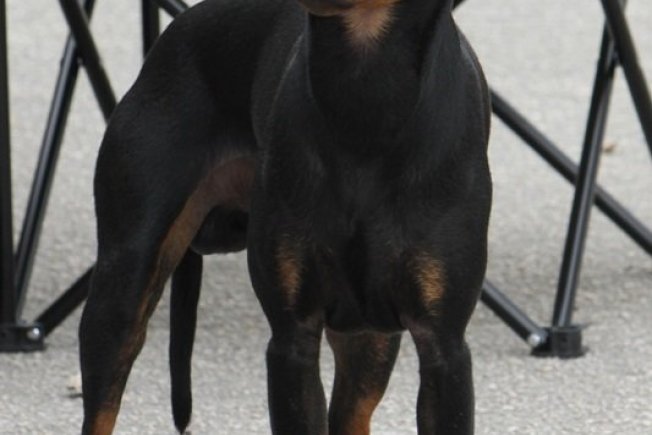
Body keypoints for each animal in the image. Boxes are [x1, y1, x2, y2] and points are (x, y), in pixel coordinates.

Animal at [78, 0, 491, 433]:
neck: (364, 91)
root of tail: (175, 31)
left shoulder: (443, 347)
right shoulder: (292, 340)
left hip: (369, 336)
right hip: (122, 289)